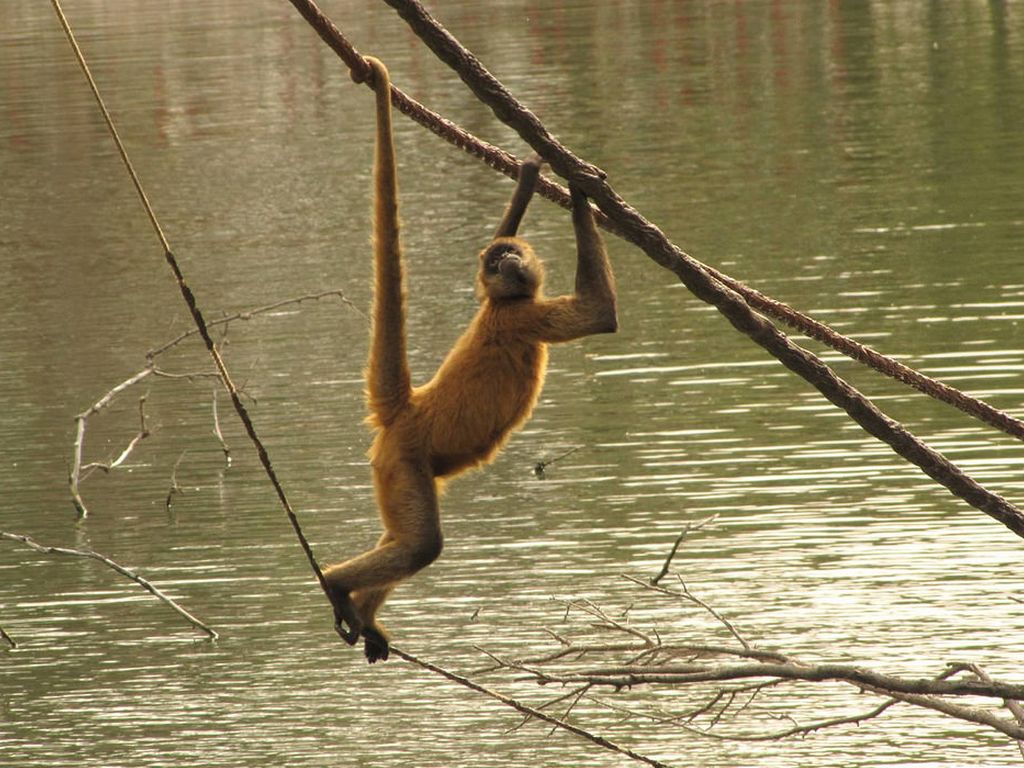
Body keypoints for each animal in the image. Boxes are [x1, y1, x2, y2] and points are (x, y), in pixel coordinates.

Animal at [324, 56, 617, 663]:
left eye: (507, 254)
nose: (505, 262)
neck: (506, 301)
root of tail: (408, 409)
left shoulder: (501, 306)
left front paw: (531, 177)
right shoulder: (520, 317)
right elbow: (600, 315)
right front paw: (577, 184)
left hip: (403, 471)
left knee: (401, 537)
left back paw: (362, 610)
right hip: (404, 461)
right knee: (421, 544)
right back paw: (339, 584)